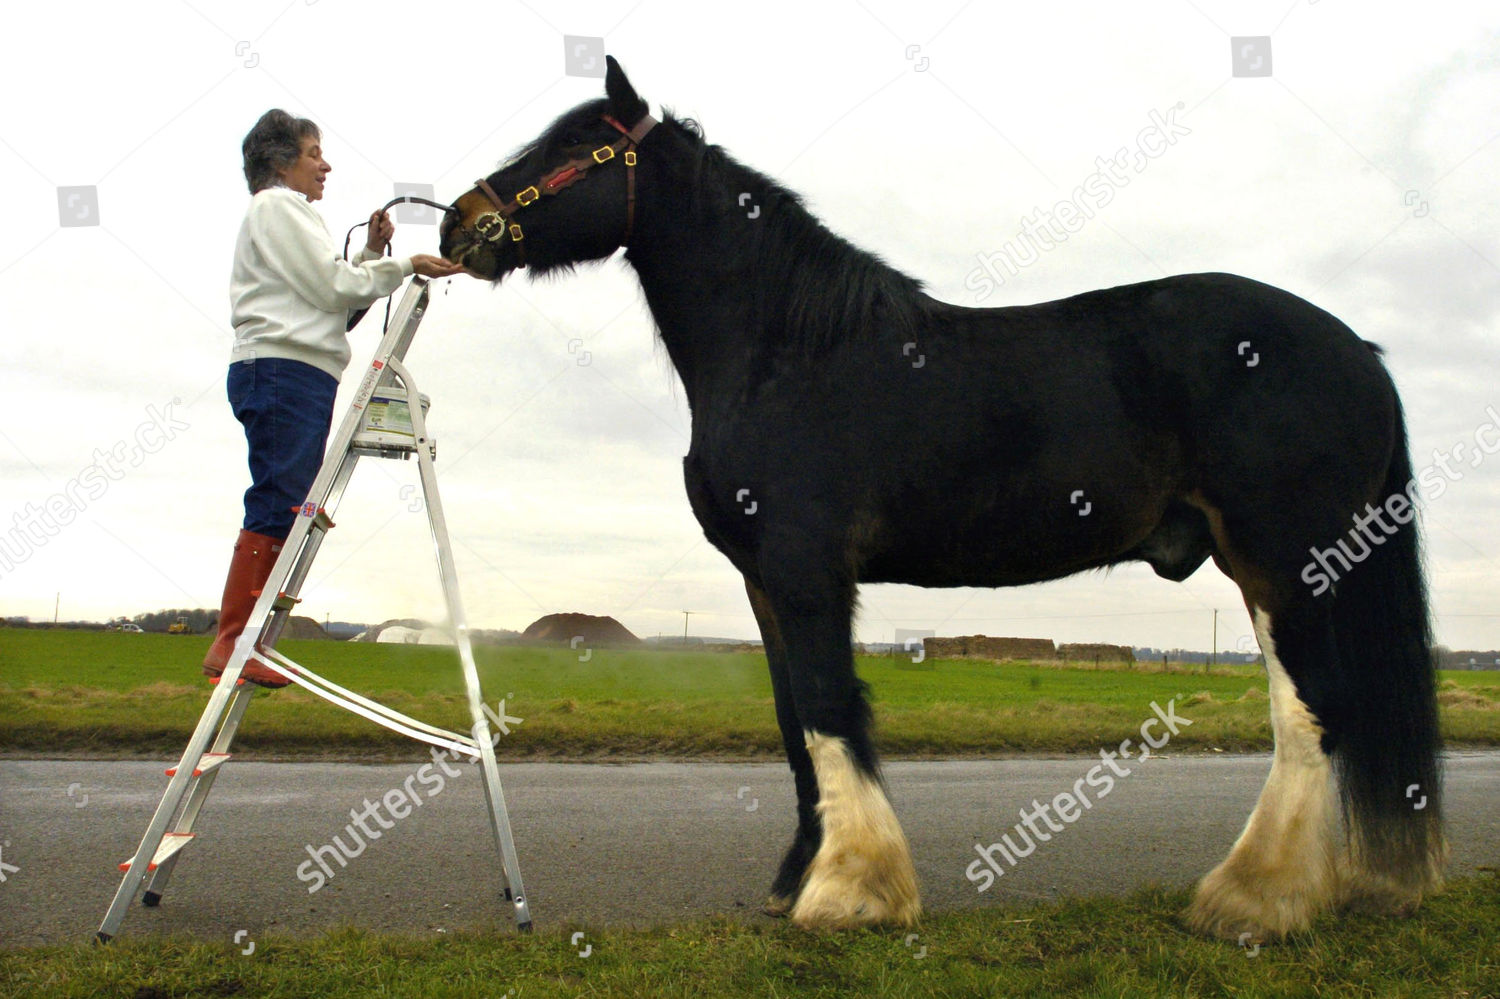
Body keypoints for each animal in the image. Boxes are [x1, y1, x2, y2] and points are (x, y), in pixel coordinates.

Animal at [441, 60, 1440, 936]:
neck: (787, 351)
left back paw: (1254, 900)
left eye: (576, 147)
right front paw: (796, 877)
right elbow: (792, 719)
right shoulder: (763, 581)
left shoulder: (808, 567)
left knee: (1312, 712)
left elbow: (829, 708)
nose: (461, 224)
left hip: (1284, 562)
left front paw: (850, 891)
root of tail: (1360, 351)